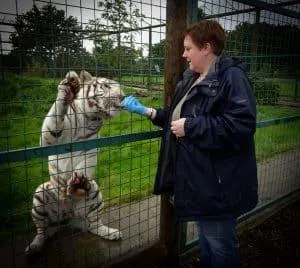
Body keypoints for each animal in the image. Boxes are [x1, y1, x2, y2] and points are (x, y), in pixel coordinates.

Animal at [25, 70, 125, 254]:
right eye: (107, 85)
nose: (123, 96)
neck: (91, 118)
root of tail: (69, 216)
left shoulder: (91, 150)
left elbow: (84, 166)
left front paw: (77, 181)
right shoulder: (49, 140)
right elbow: (54, 118)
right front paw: (69, 87)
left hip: (95, 192)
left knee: (94, 224)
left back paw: (111, 233)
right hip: (40, 195)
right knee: (42, 229)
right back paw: (35, 246)